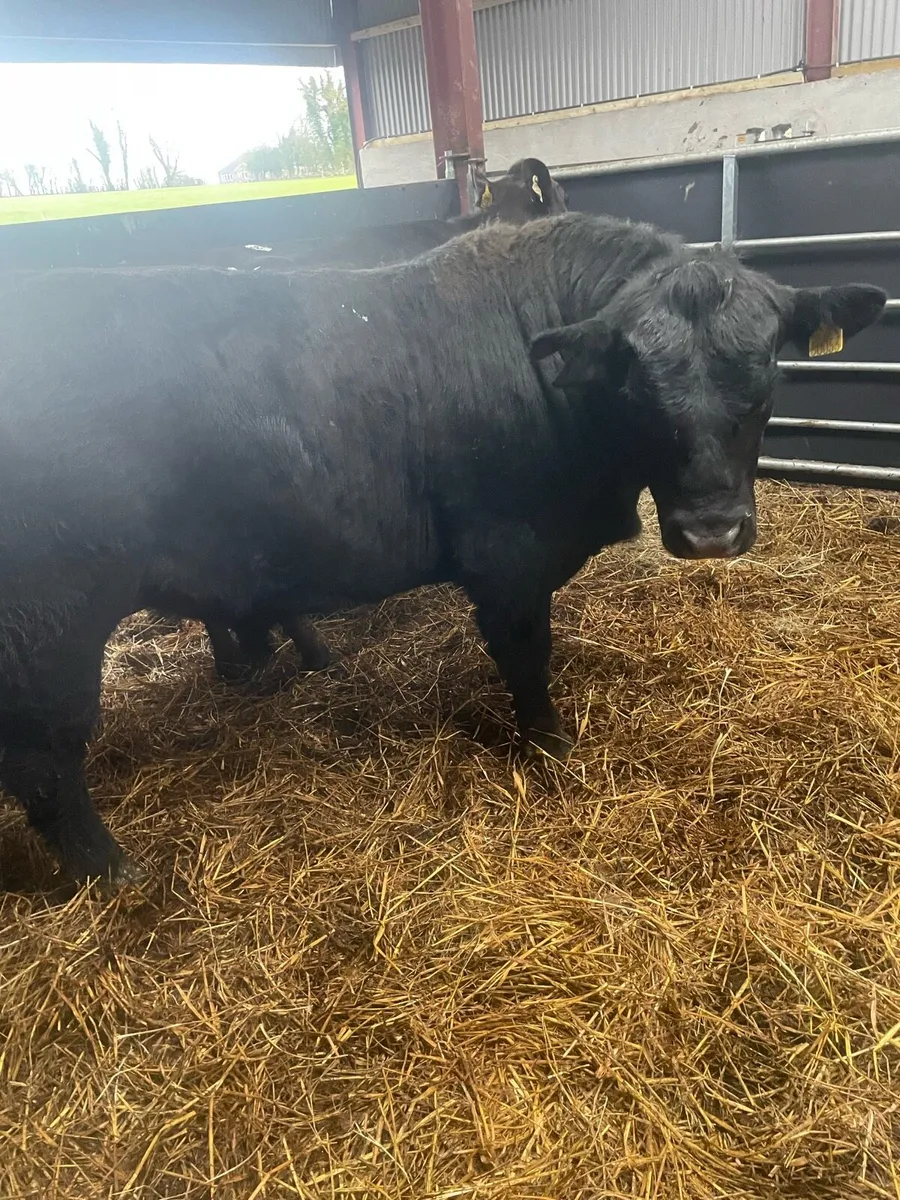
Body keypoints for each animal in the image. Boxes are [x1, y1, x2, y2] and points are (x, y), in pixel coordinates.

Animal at [0, 212, 885, 886]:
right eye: (637, 382)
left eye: (766, 374)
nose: (710, 532)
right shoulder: (509, 556)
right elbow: (526, 657)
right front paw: (549, 746)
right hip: (51, 618)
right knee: (44, 758)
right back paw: (113, 872)